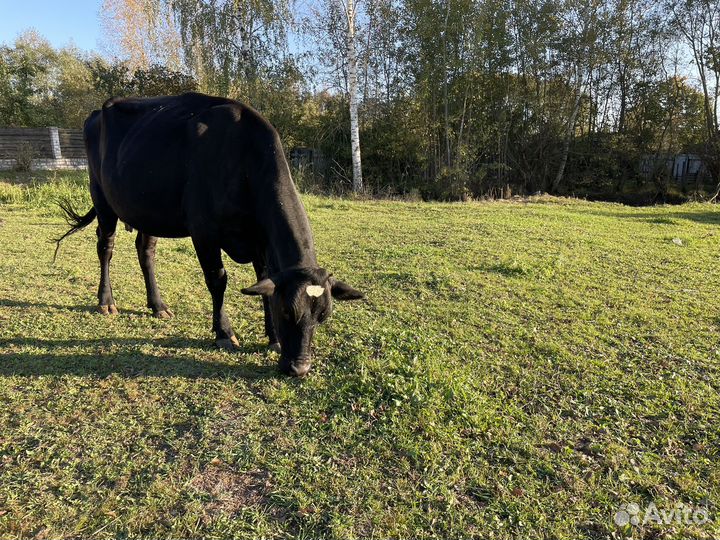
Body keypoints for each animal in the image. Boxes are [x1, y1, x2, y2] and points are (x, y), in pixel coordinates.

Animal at [57, 92, 363, 377]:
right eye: (288, 311)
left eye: (323, 316)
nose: (299, 368)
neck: (243, 158)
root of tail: (99, 111)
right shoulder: (203, 232)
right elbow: (218, 280)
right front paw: (224, 333)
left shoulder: (260, 239)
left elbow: (264, 281)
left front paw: (273, 337)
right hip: (101, 197)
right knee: (105, 247)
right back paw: (106, 302)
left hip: (147, 209)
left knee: (145, 251)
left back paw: (158, 305)